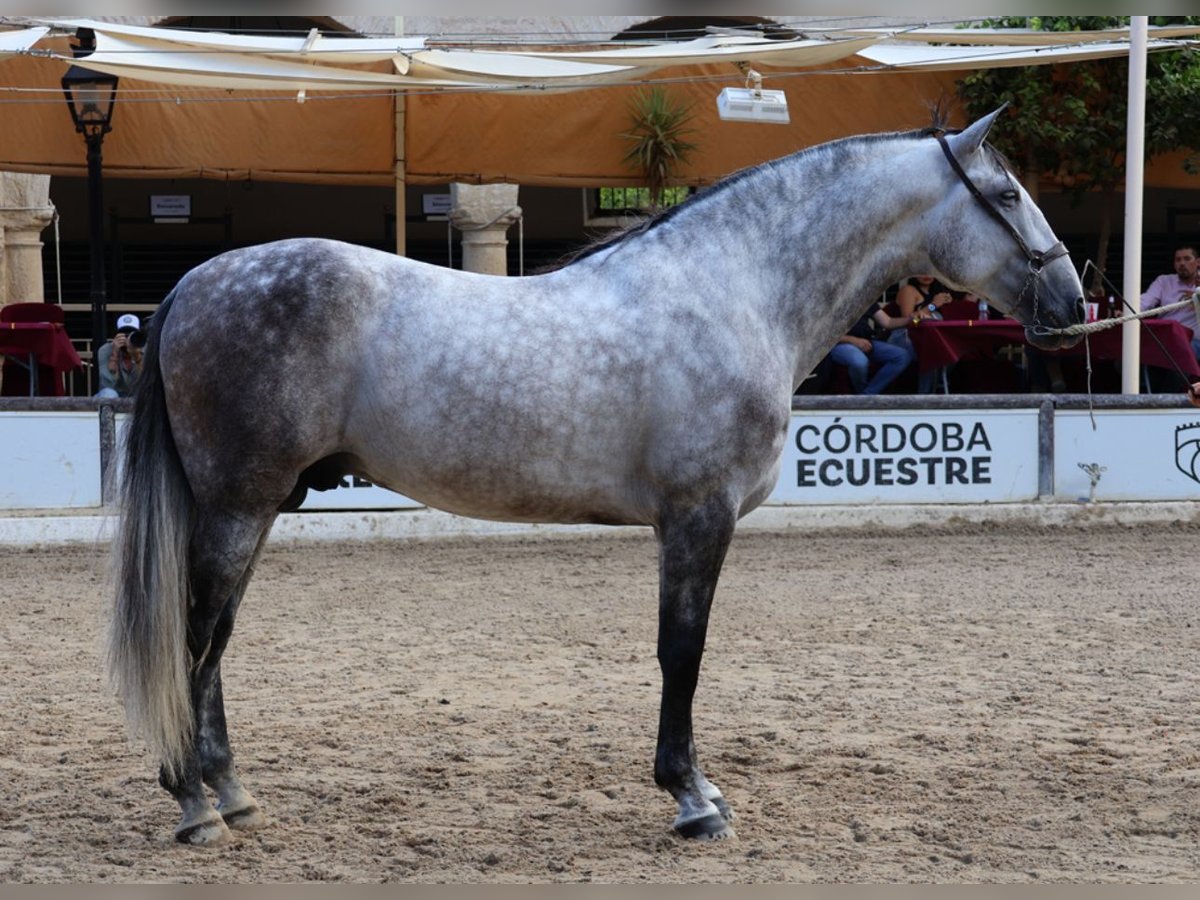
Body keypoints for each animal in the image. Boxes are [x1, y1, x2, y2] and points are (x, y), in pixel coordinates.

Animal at [110, 109, 1089, 849]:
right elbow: (682, 651)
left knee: (215, 642)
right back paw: (193, 803)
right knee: (195, 639)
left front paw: (699, 788)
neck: (733, 291)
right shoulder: (698, 517)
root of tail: (194, 283)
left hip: (257, 507)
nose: (1074, 305)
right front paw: (693, 799)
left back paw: (230, 793)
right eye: (1007, 195)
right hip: (238, 505)